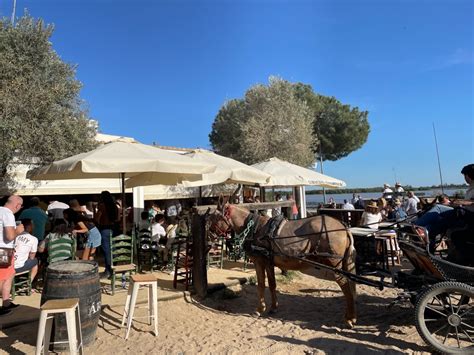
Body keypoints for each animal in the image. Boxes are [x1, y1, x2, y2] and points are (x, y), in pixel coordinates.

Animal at [209, 202, 358, 330]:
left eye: (215, 217)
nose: (210, 235)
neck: (255, 228)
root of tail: (343, 227)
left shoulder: (259, 261)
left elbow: (261, 285)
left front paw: (259, 309)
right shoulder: (269, 263)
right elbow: (272, 284)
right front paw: (273, 307)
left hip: (335, 265)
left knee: (345, 286)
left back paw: (349, 319)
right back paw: (351, 316)